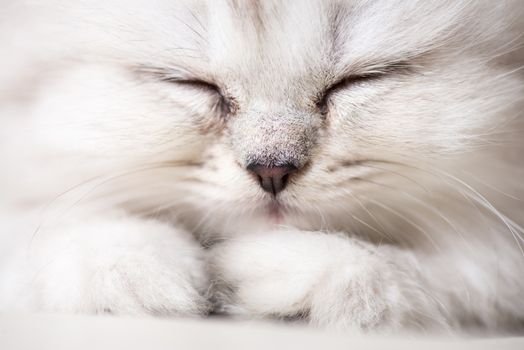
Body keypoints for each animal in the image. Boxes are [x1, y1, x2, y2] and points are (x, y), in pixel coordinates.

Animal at [1, 0, 524, 334]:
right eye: (188, 83)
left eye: (362, 79)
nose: (272, 170)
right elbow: (69, 235)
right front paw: (148, 270)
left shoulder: (498, 254)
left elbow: (428, 273)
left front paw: (257, 270)